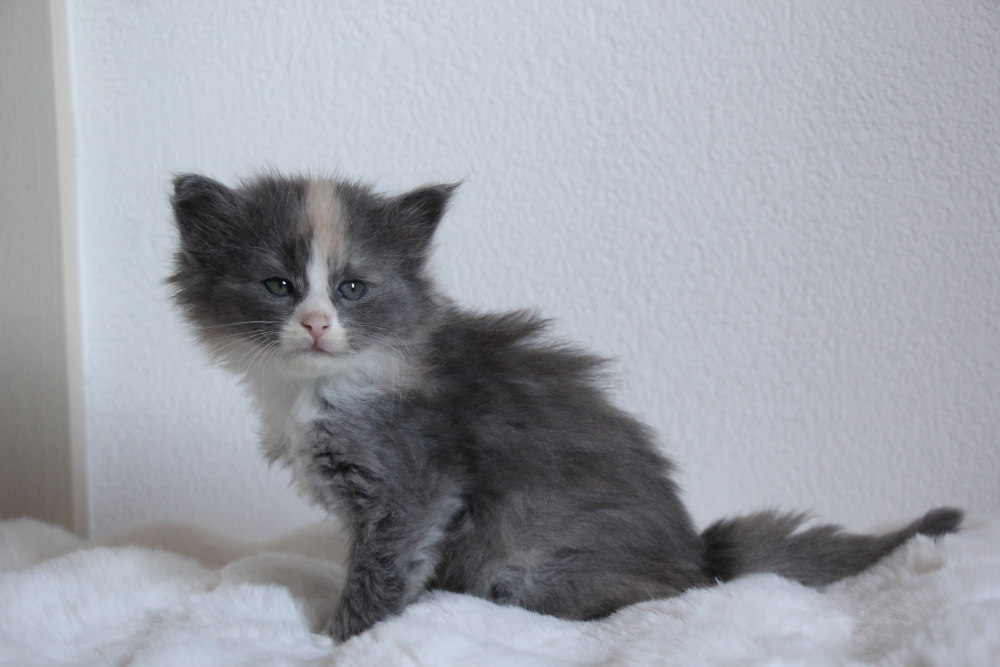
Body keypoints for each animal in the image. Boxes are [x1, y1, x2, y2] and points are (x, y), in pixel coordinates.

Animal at [168, 172, 962, 642]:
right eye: (278, 285)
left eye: (352, 288)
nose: (313, 323)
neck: (324, 385)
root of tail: (702, 554)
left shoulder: (410, 488)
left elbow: (380, 571)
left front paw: (338, 640)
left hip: (532, 563)